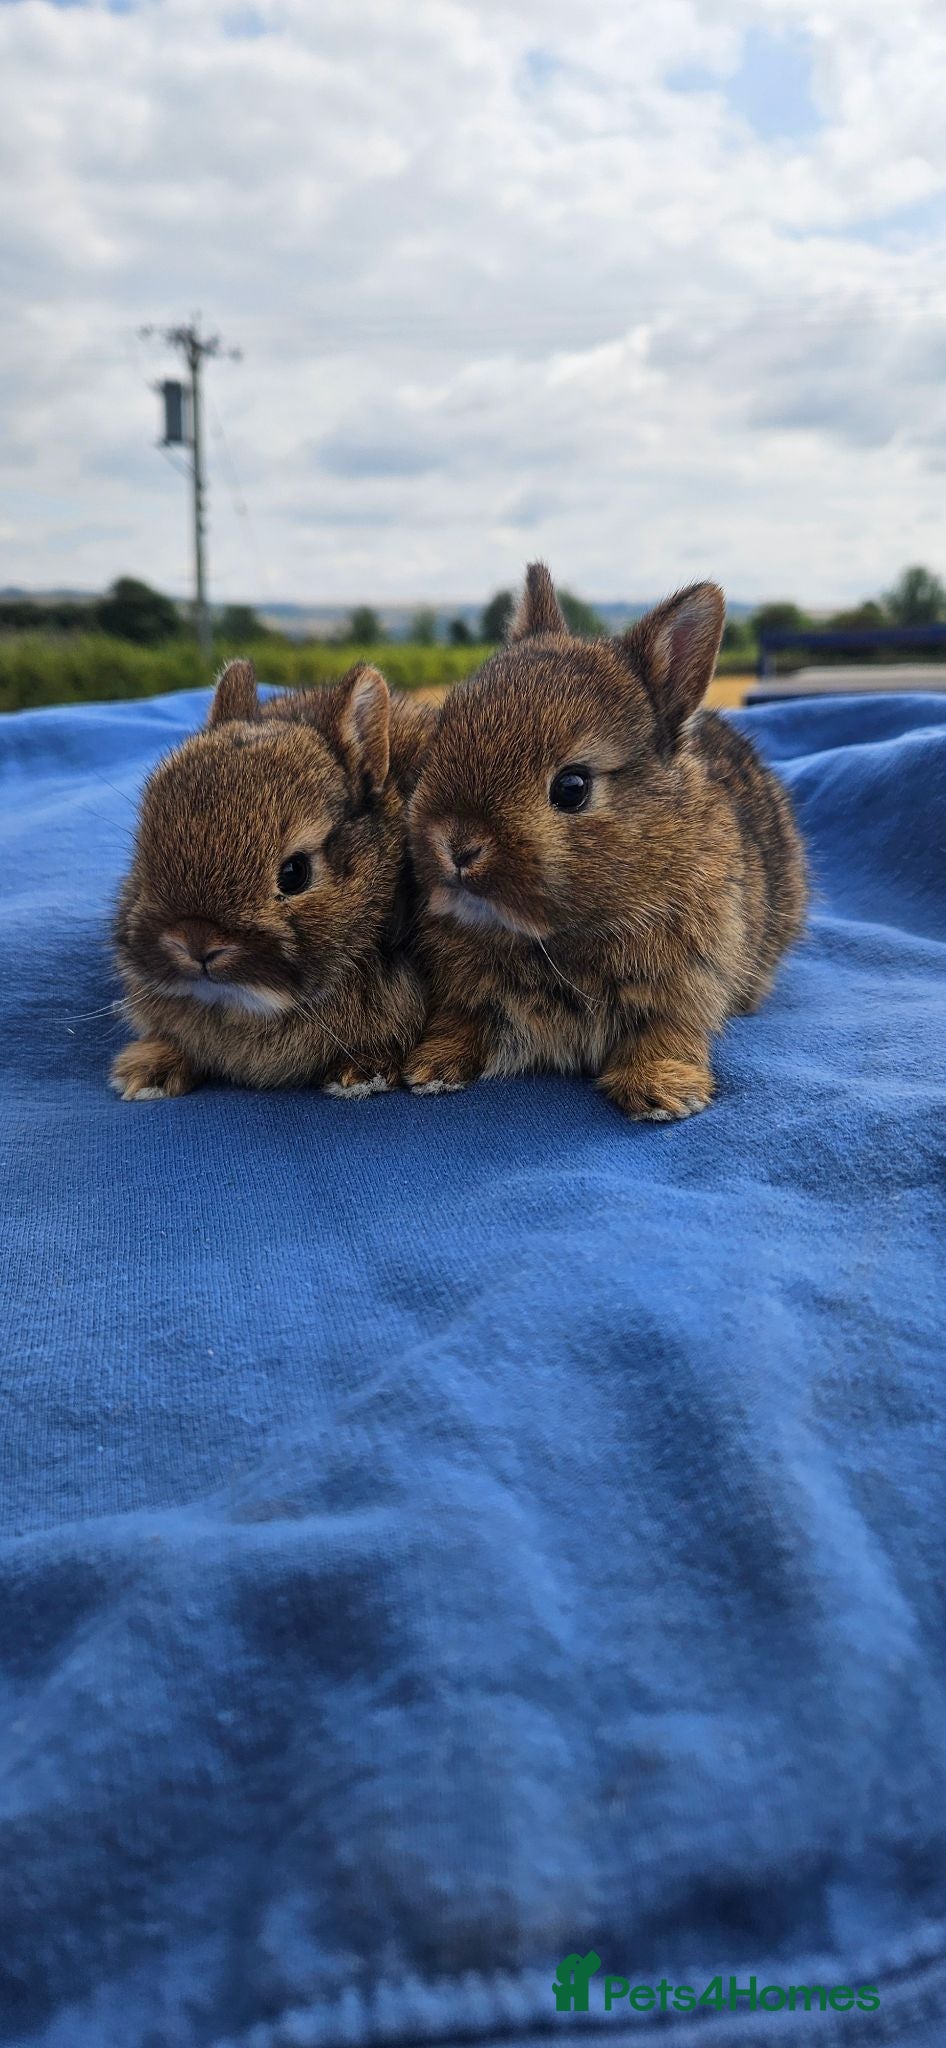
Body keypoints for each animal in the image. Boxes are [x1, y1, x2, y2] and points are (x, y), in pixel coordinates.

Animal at [405, 564, 807, 1121]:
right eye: (439, 738)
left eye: (572, 787)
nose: (457, 845)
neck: (556, 940)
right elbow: (462, 1021)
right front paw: (431, 1068)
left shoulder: (684, 986)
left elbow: (666, 1034)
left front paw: (662, 1093)